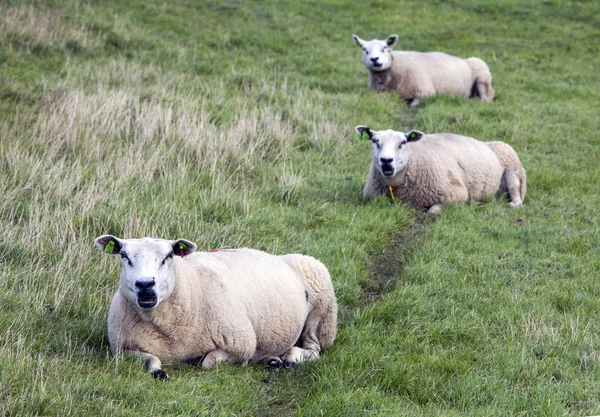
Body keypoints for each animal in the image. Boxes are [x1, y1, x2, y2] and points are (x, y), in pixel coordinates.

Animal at [94, 236, 338, 378]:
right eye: (124, 255)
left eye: (169, 256)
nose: (145, 284)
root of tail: (279, 257)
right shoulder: (121, 349)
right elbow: (151, 359)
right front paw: (158, 371)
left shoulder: (241, 344)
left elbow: (208, 362)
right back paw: (272, 359)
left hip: (321, 310)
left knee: (314, 349)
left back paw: (291, 357)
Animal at [350, 34, 494, 107]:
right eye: (364, 49)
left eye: (384, 48)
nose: (374, 59)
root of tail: (464, 59)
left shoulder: (425, 92)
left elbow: (413, 105)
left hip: (483, 77)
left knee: (486, 98)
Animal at [356, 125, 524, 213]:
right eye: (374, 141)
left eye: (403, 142)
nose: (386, 161)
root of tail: (489, 143)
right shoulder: (372, 198)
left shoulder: (458, 193)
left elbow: (433, 211)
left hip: (513, 170)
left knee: (516, 195)